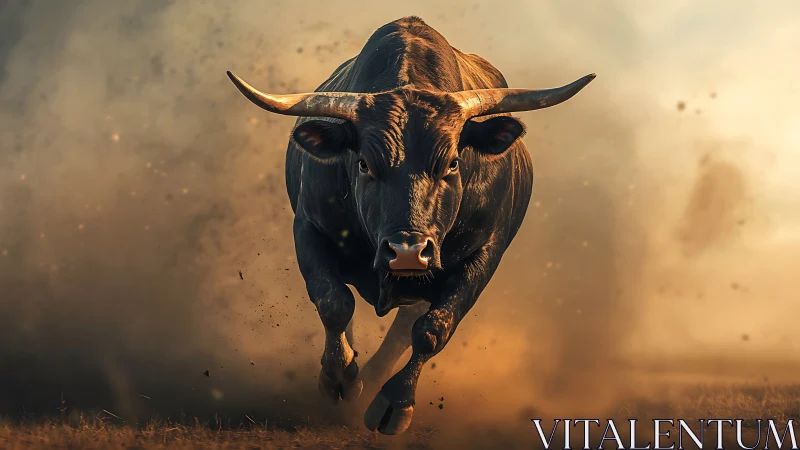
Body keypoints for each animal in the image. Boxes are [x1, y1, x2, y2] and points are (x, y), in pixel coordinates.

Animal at [227, 16, 594, 435]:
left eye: (452, 162)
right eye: (364, 163)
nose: (407, 253)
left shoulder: (485, 252)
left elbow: (432, 330)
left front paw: (394, 402)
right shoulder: (308, 228)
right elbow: (334, 303)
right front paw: (338, 377)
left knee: (405, 328)